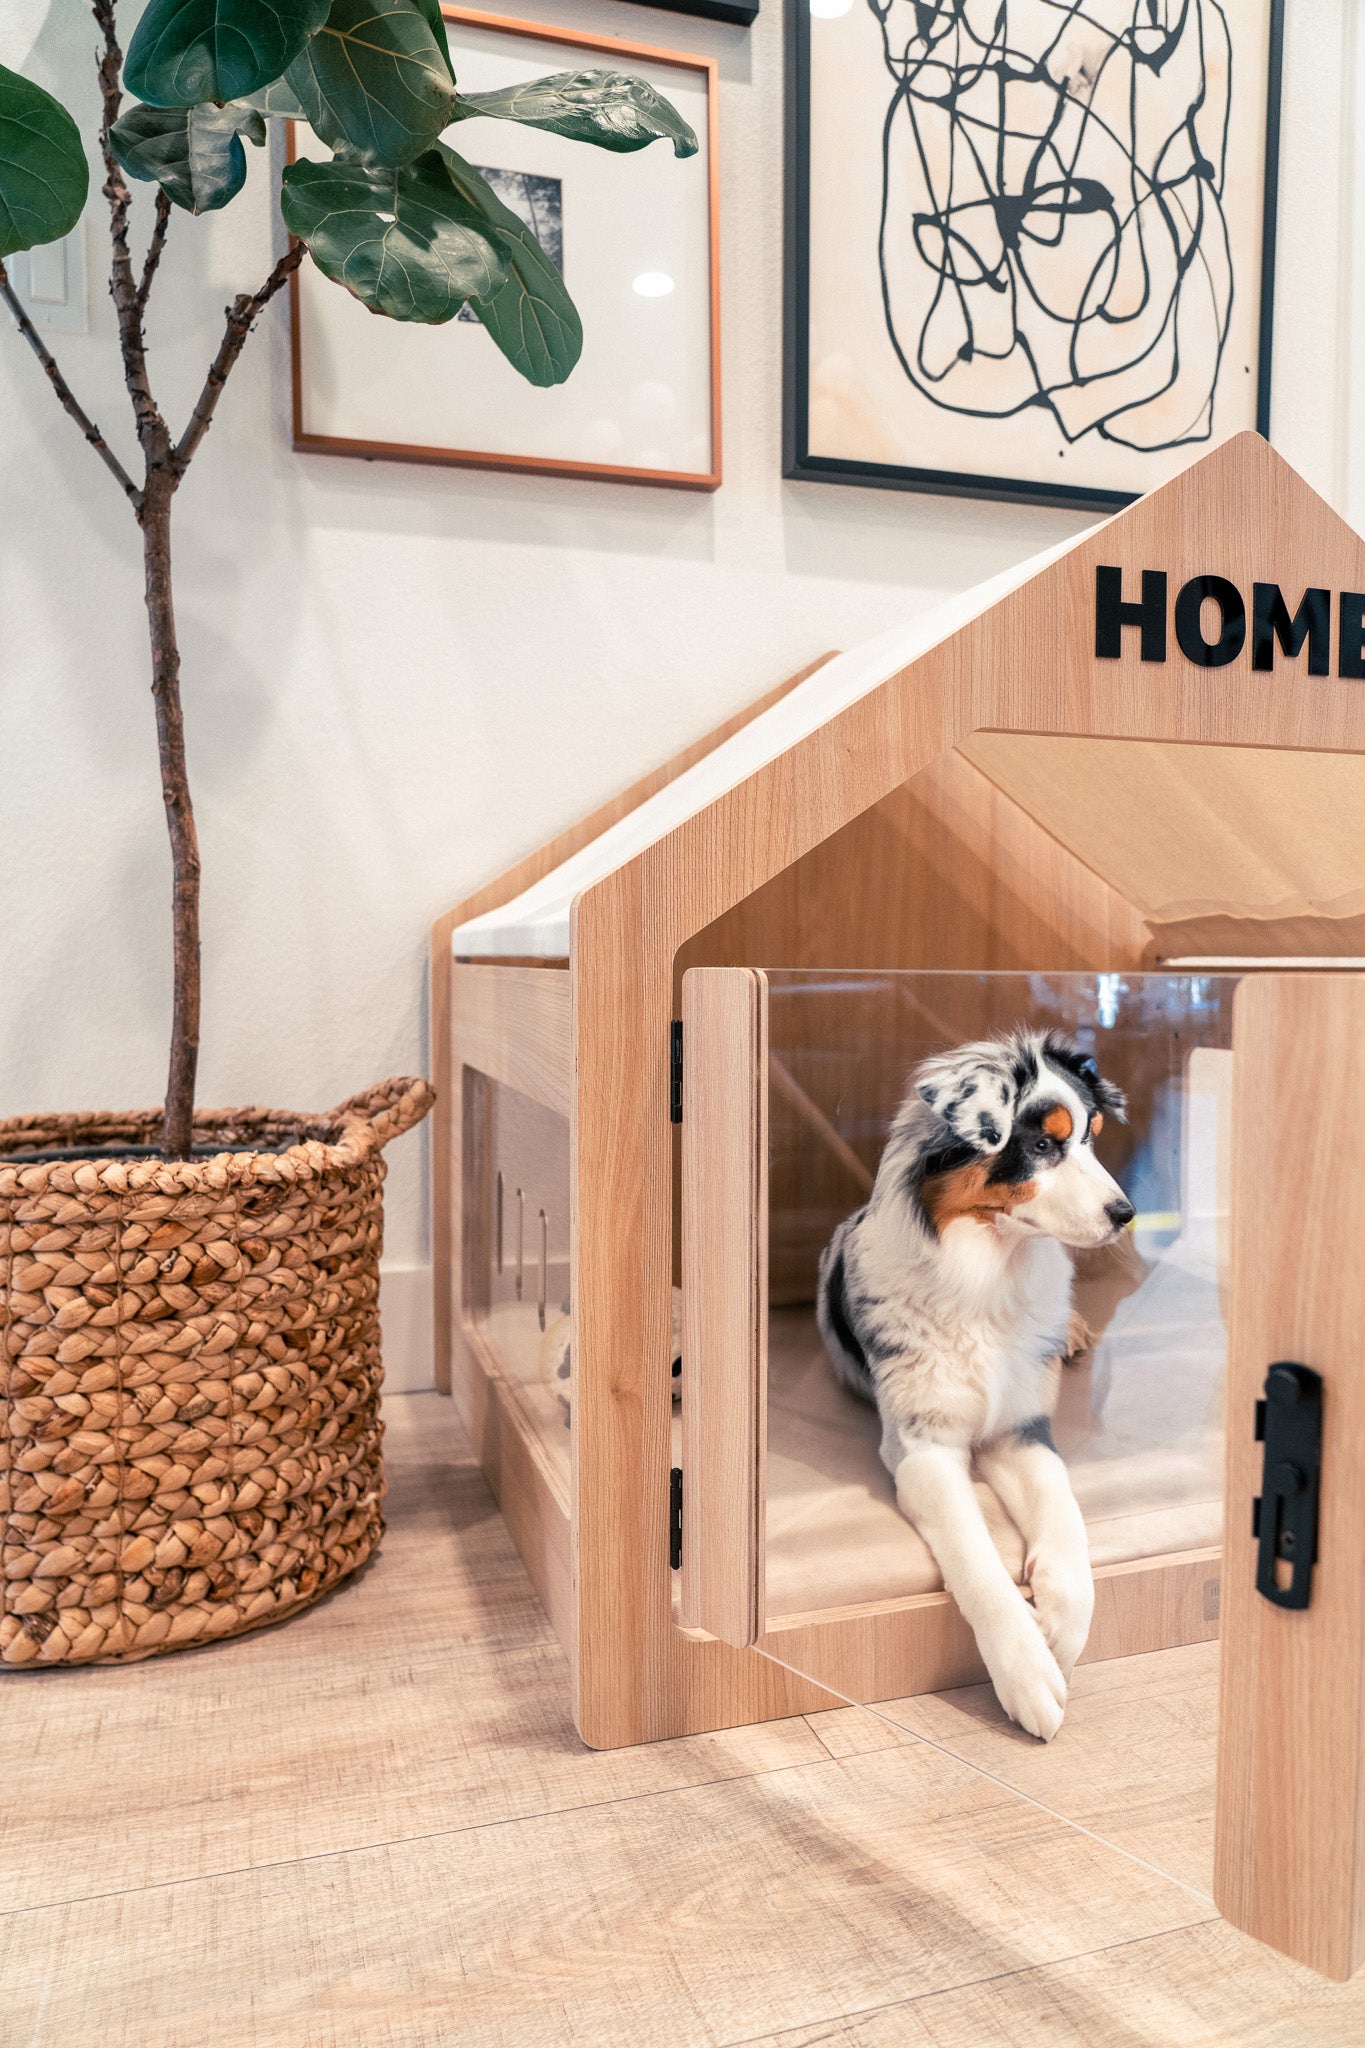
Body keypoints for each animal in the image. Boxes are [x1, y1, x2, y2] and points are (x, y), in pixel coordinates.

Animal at [822, 1032, 1129, 1736]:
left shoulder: (1022, 1429)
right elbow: (977, 1558)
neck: (988, 1278)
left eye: (1092, 1137)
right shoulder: (923, 1450)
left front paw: (1062, 1634)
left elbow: (1069, 1524)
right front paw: (1029, 1673)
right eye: (1042, 1144)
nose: (1126, 1214)